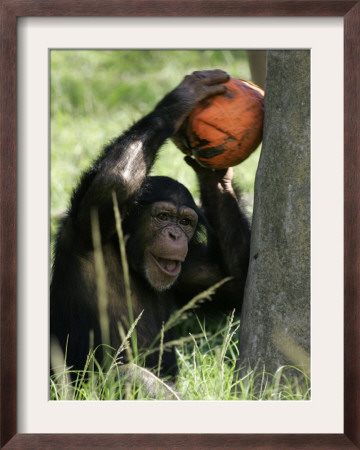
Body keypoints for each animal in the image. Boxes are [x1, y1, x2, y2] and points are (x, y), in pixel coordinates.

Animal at [50, 69, 250, 380]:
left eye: (185, 221)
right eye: (163, 217)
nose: (175, 234)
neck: (127, 256)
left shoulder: (192, 268)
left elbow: (237, 282)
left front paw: (213, 173)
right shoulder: (87, 225)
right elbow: (114, 180)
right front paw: (179, 101)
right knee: (133, 375)